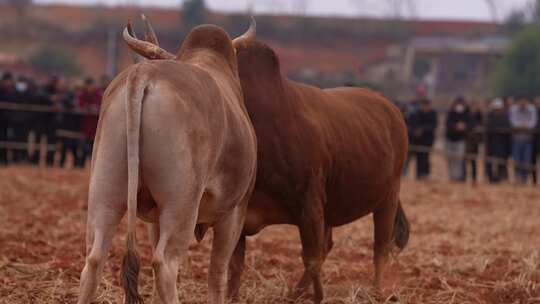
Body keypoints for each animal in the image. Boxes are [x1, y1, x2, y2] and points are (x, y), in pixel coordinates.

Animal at [76, 24, 260, 304]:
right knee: (165, 265)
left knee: (94, 259)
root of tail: (144, 73)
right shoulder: (234, 211)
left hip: (104, 191)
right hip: (181, 205)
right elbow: (217, 274)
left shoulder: (154, 218)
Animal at [125, 17, 410, 302]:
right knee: (332, 246)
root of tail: (390, 107)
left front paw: (318, 297)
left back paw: (375, 291)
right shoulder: (243, 214)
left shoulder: (309, 205)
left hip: (389, 196)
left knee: (379, 247)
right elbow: (236, 266)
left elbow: (311, 259)